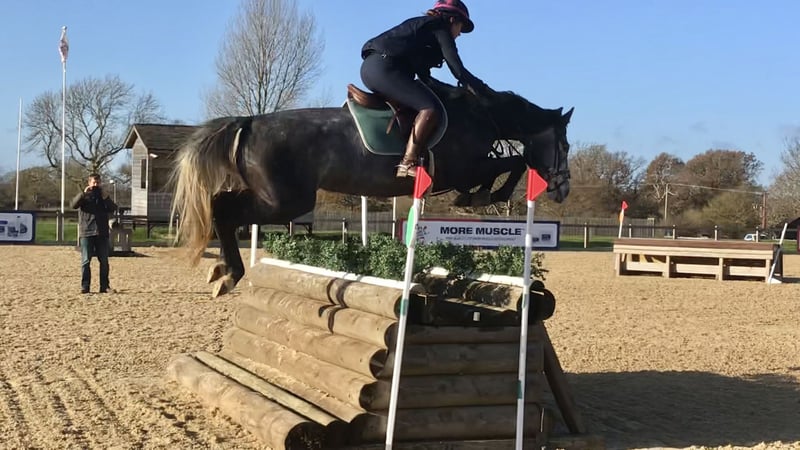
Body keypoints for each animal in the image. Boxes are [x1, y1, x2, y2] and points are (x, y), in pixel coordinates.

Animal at [171, 80, 573, 297]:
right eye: (565, 145)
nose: (563, 189)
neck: (481, 116)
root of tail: (250, 121)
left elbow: (510, 162)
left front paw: (479, 195)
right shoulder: (461, 169)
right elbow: (513, 163)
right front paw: (487, 194)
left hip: (273, 196)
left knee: (221, 206)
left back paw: (222, 270)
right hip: (284, 201)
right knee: (223, 211)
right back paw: (229, 274)